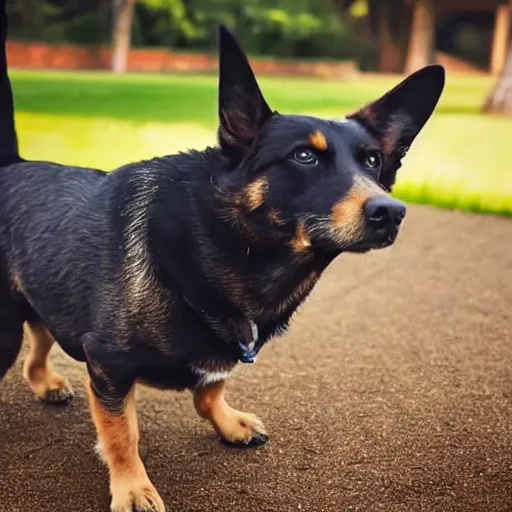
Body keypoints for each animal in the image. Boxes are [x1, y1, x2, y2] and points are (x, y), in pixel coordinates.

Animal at [0, 5, 444, 512]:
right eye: (304, 156)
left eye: (373, 162)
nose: (391, 212)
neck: (222, 242)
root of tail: (10, 165)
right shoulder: (109, 363)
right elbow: (122, 434)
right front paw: (132, 486)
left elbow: (211, 389)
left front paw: (228, 422)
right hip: (5, 330)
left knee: (38, 342)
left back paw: (45, 382)